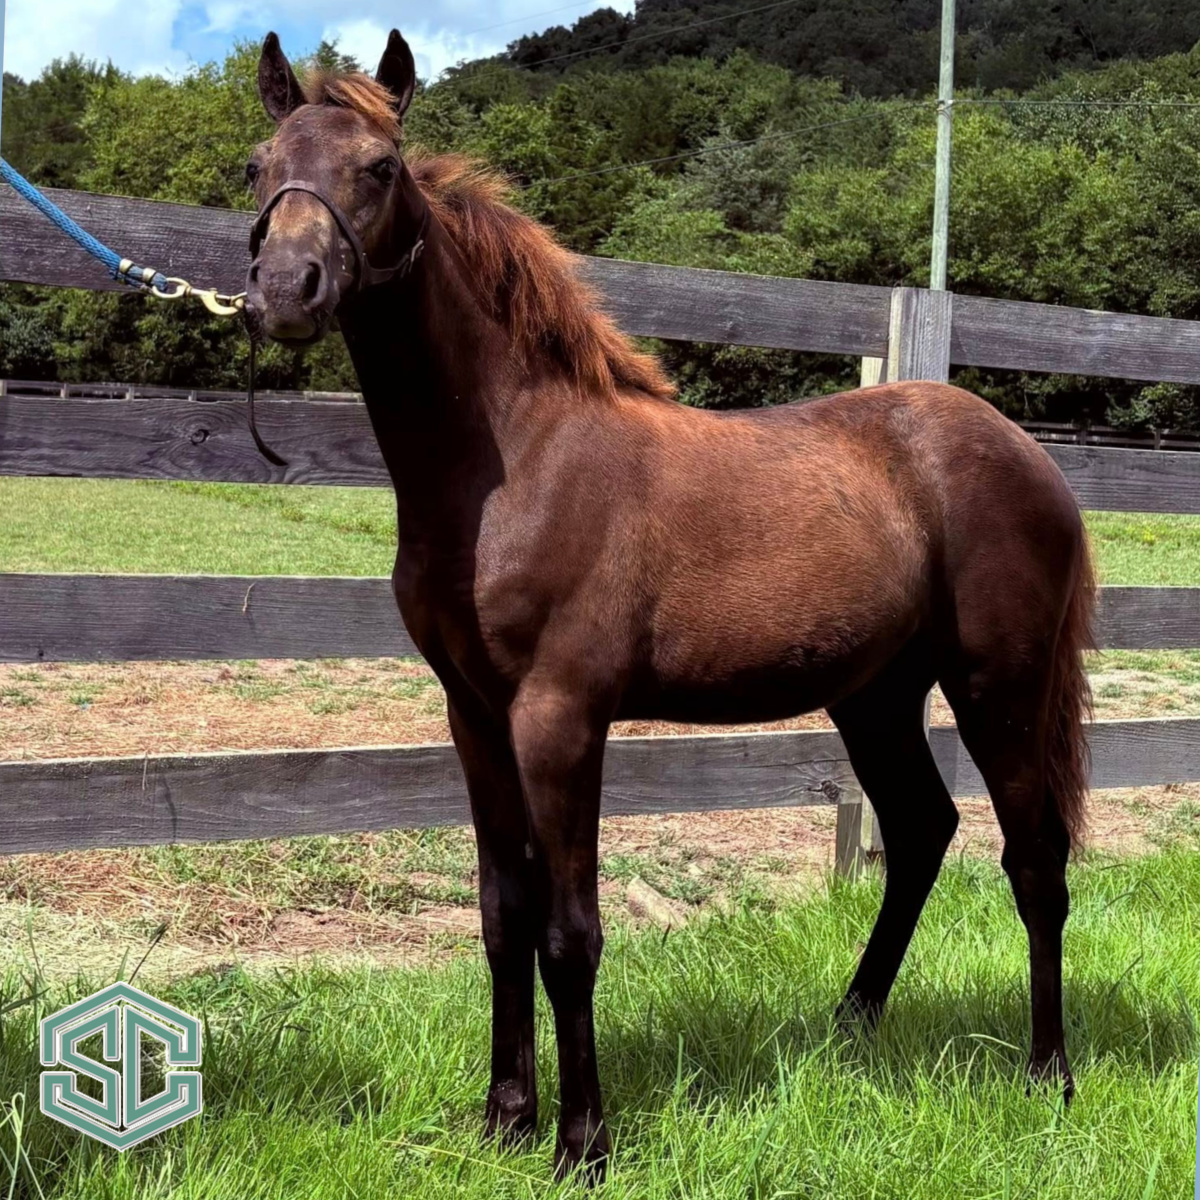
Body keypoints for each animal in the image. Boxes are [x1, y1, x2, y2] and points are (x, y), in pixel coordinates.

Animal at [243, 30, 1096, 1180]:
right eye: (259, 164)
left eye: (379, 168)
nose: (285, 289)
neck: (517, 459)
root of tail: (1026, 453)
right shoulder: (475, 718)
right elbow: (503, 916)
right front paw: (504, 1118)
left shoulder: (561, 718)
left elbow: (570, 932)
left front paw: (582, 1143)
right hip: (875, 696)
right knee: (922, 830)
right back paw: (848, 1024)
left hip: (998, 684)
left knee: (1034, 857)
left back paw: (1049, 1075)